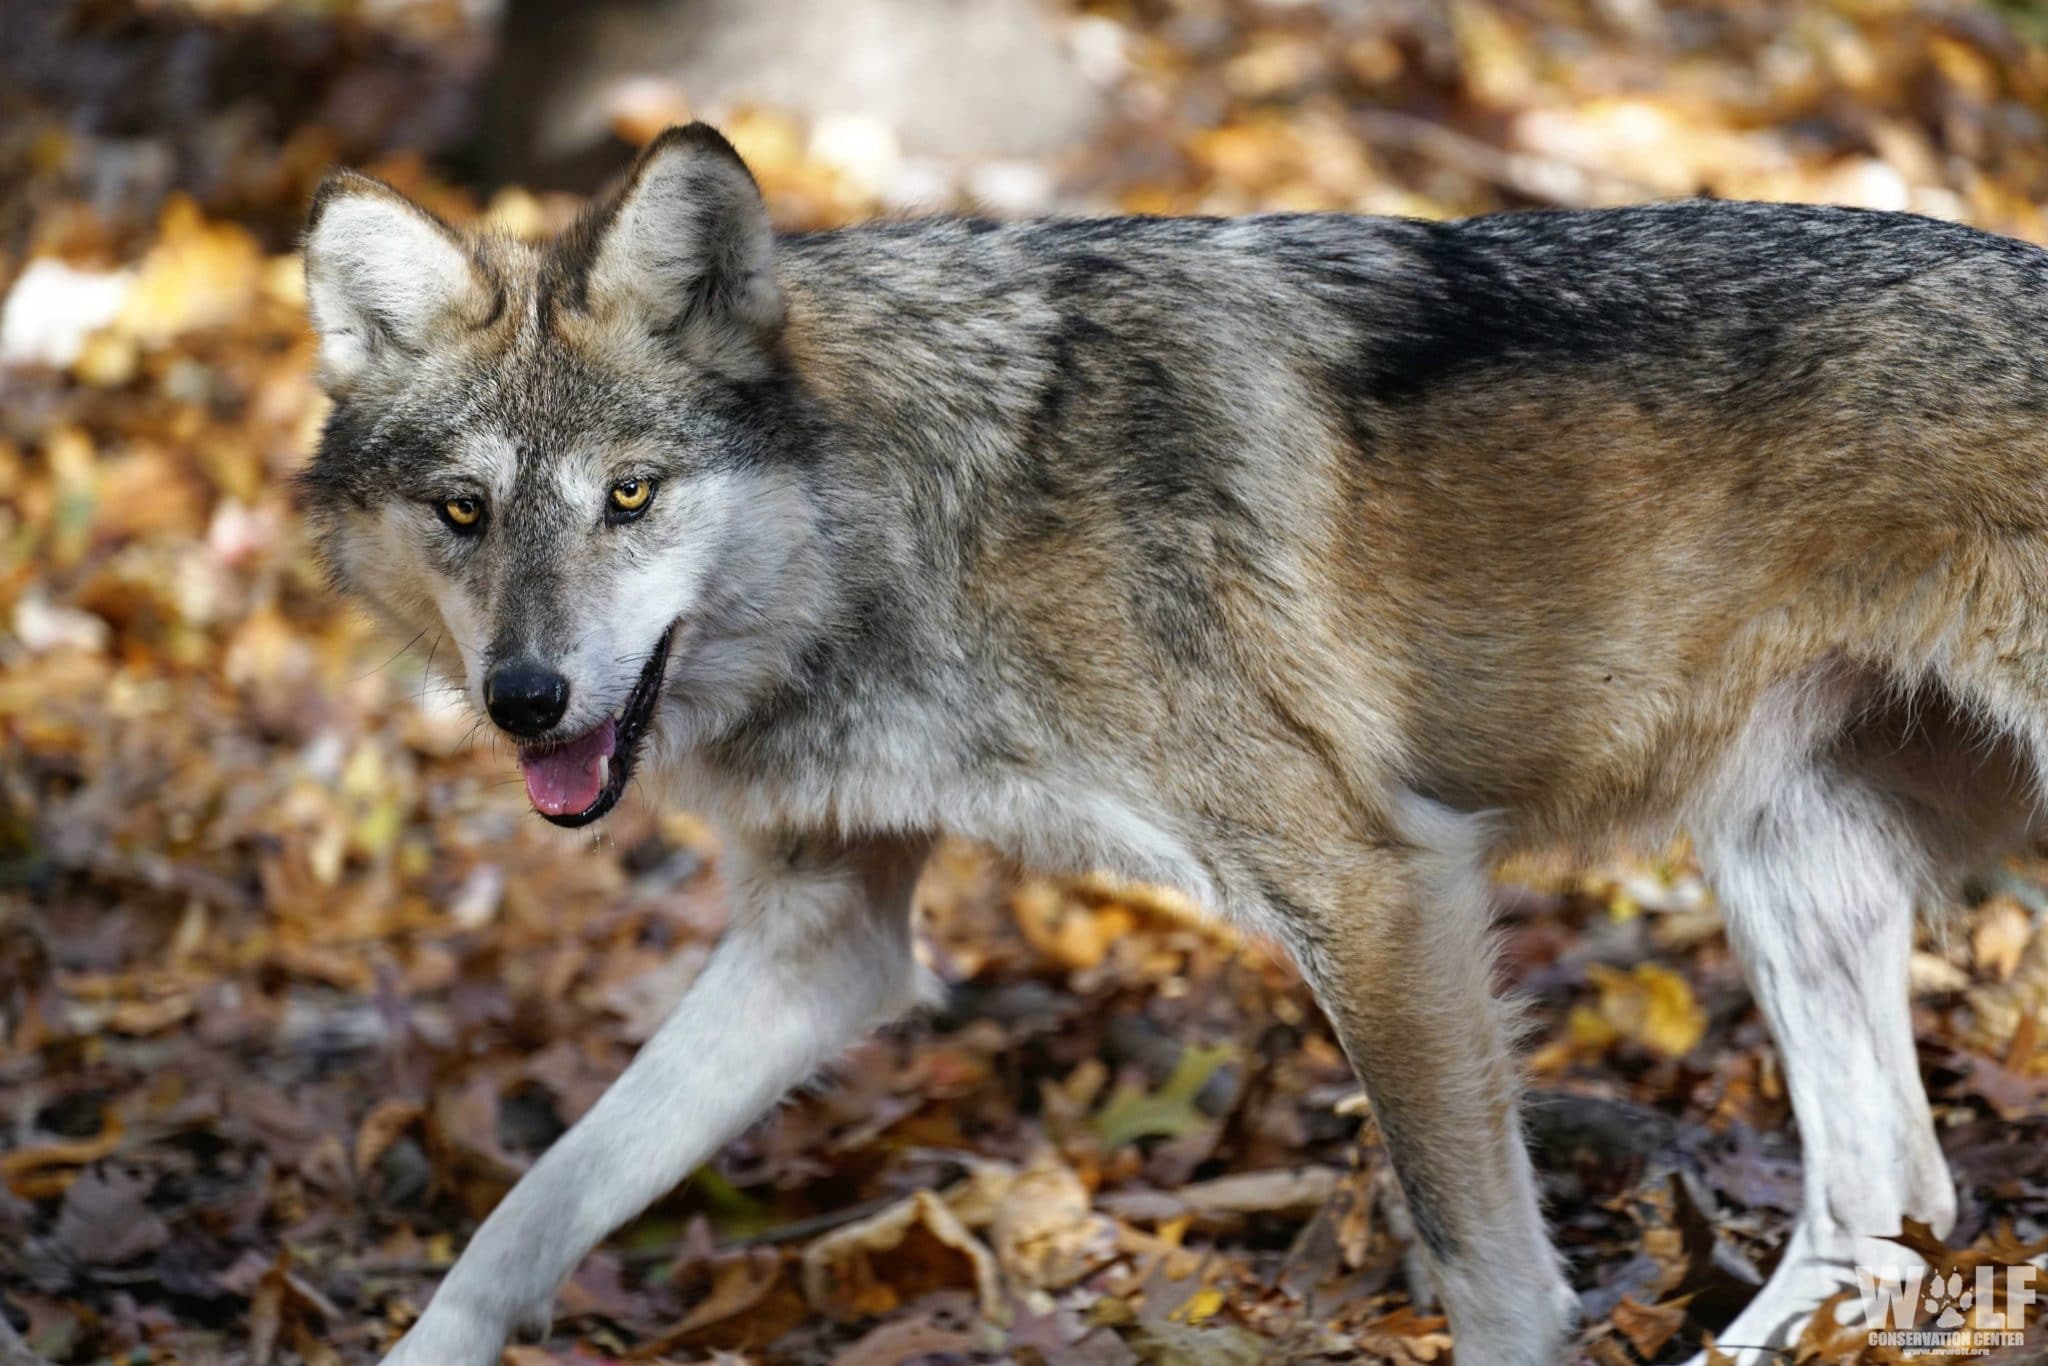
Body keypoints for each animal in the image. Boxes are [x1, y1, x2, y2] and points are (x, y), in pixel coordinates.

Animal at [292, 120, 2048, 1366]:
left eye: (632, 494)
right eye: (465, 512)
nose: (526, 697)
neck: (921, 518)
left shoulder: (1376, 889)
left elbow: (1488, 1280)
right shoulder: (825, 935)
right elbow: (527, 1211)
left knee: (1889, 1203)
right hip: (1778, 858)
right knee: (1887, 1207)